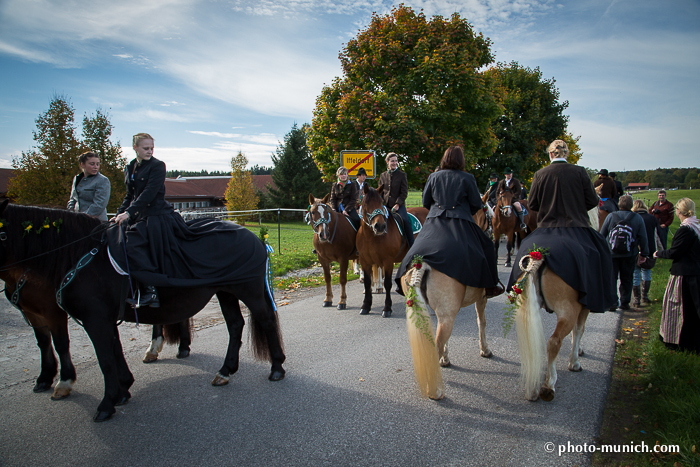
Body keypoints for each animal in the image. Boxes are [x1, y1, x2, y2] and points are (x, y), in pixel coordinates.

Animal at [0, 202, 288, 424]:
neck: (80, 256)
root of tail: (256, 239)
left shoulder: (90, 319)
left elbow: (103, 359)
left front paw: (105, 403)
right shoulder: (99, 319)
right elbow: (114, 351)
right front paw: (123, 390)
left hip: (249, 291)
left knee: (266, 320)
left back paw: (276, 368)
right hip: (225, 291)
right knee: (235, 325)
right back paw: (225, 371)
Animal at [358, 186, 430, 318]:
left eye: (381, 202)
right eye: (365, 203)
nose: (380, 226)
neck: (371, 237)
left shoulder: (388, 261)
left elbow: (387, 283)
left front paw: (387, 308)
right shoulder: (365, 261)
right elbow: (367, 283)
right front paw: (365, 306)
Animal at [396, 264, 490, 398]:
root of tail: (421, 264)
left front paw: (445, 359)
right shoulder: (482, 297)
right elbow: (481, 321)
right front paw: (485, 349)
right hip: (447, 316)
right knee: (435, 349)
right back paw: (434, 391)